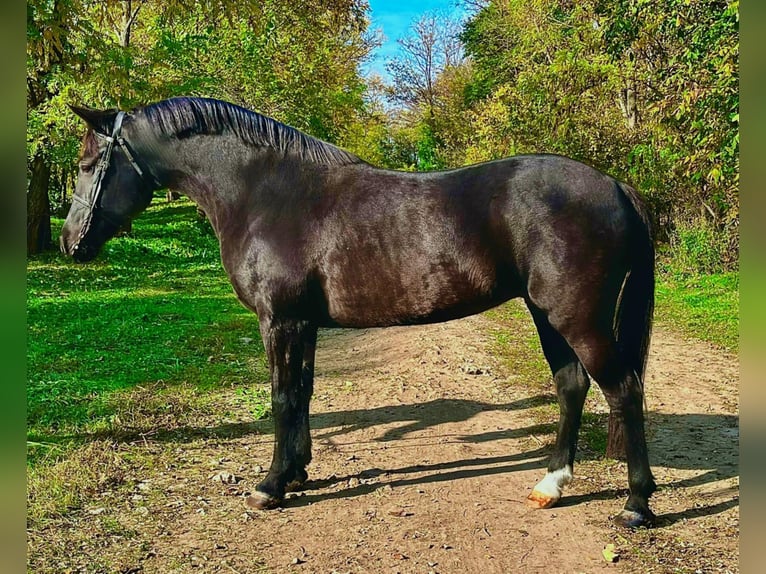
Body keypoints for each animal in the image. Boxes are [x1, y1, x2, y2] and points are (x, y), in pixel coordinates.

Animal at [61, 97, 660, 528]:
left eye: (89, 164)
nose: (70, 243)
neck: (265, 194)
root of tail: (615, 185)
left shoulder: (280, 321)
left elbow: (281, 400)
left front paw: (269, 487)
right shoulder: (302, 324)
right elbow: (301, 395)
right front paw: (297, 473)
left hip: (576, 318)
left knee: (623, 390)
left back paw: (636, 504)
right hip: (546, 314)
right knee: (571, 386)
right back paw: (550, 485)